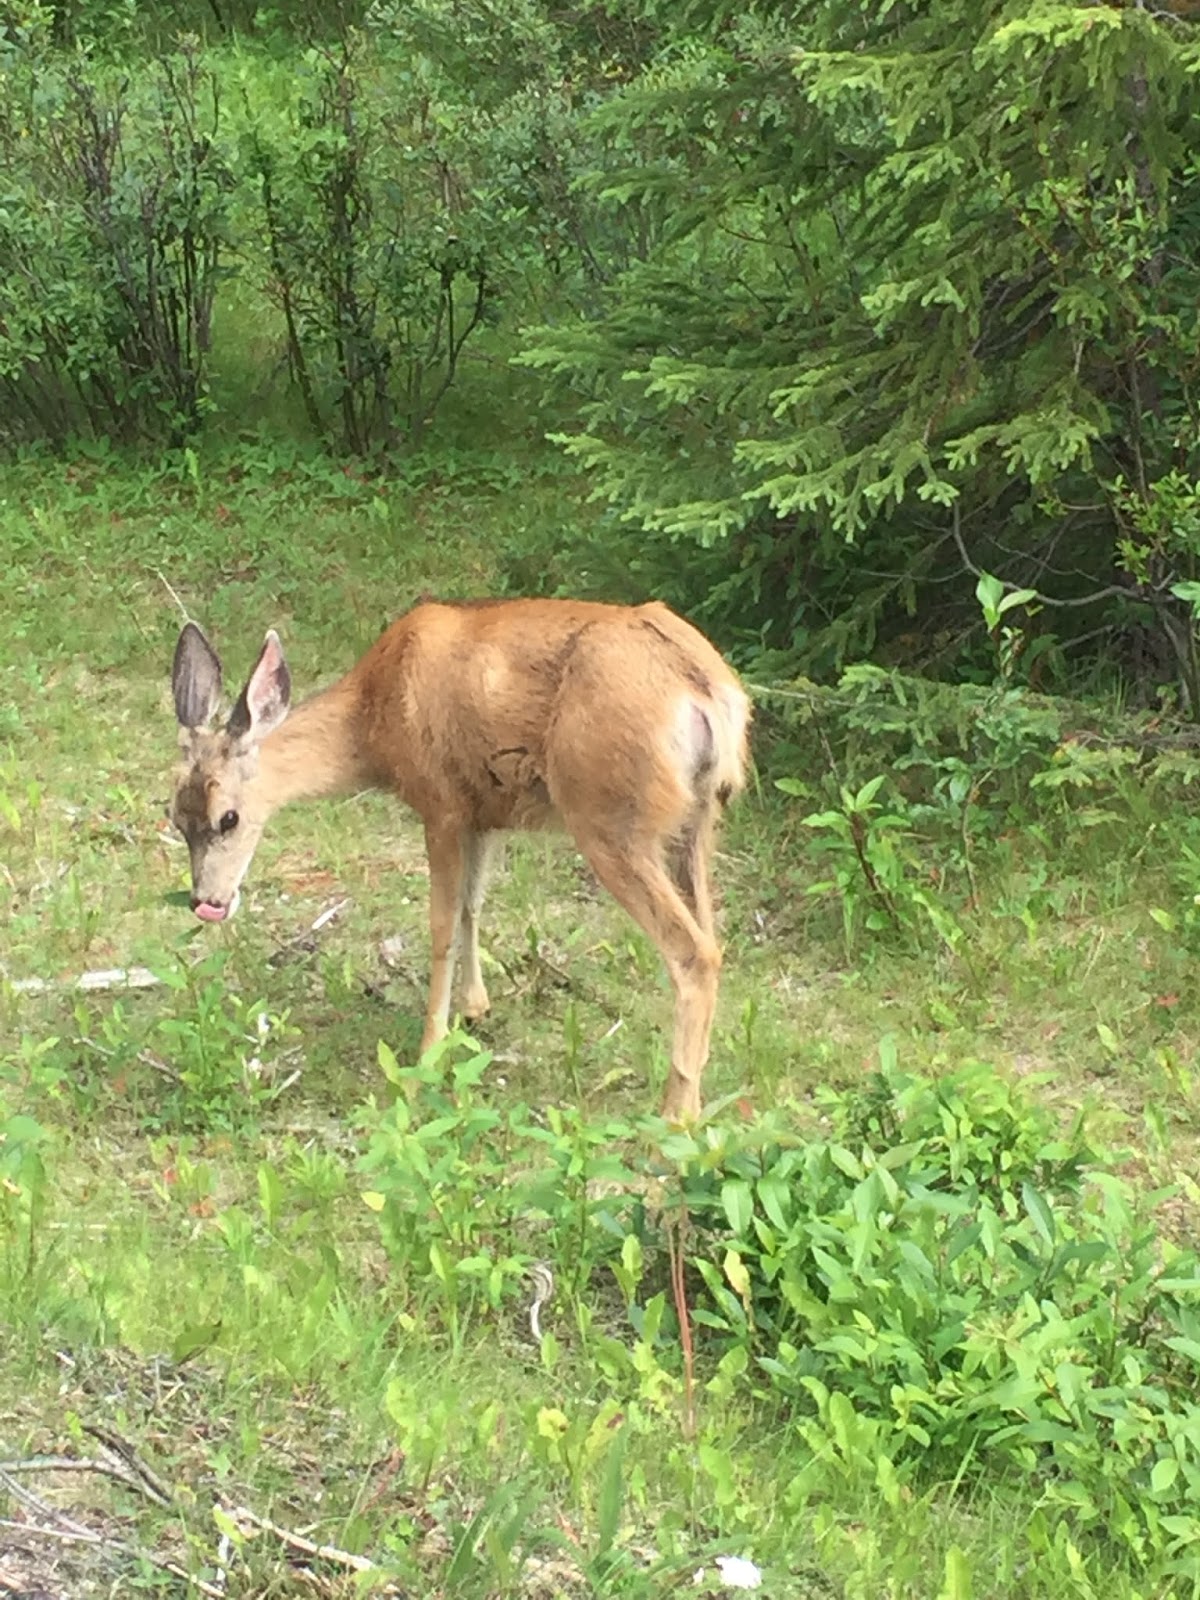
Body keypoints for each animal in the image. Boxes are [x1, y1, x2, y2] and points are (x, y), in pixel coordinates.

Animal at [167, 596, 751, 1121]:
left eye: (228, 818)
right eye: (175, 817)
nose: (206, 901)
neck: (372, 722)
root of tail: (706, 693)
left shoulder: (441, 803)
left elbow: (442, 925)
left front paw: (428, 1051)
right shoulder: (482, 812)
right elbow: (474, 905)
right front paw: (475, 1007)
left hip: (610, 818)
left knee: (694, 952)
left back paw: (676, 1113)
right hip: (696, 823)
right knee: (712, 937)